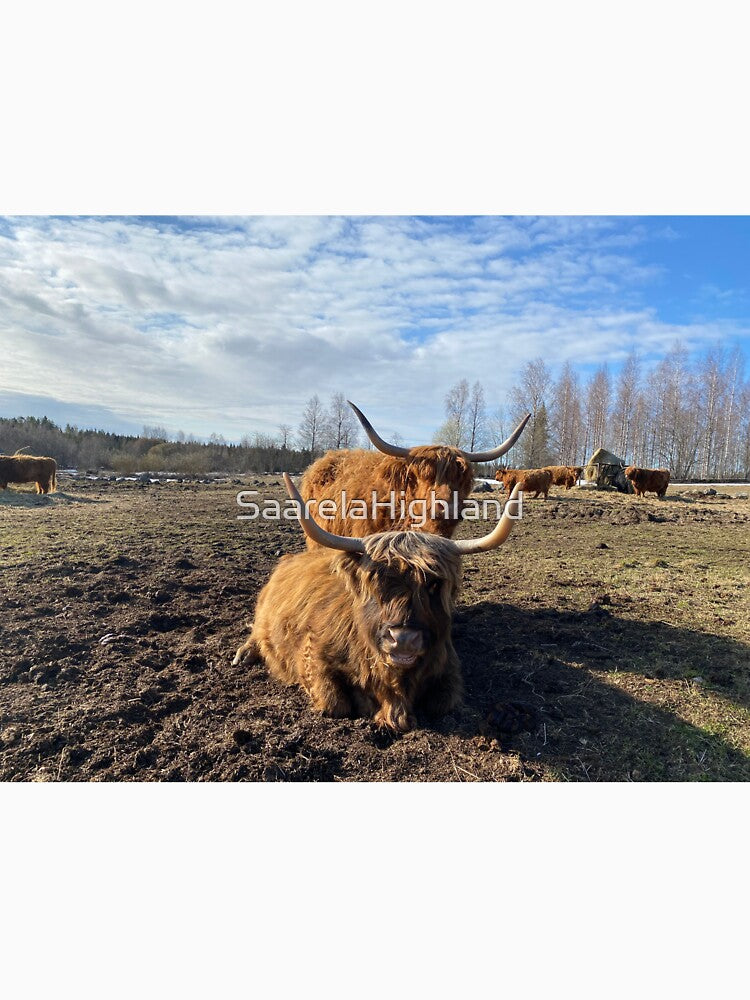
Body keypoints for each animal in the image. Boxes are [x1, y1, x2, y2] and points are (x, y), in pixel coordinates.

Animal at [233, 474, 524, 732]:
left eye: (433, 584)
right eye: (376, 583)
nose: (403, 639)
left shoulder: (447, 666)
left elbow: (443, 702)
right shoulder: (312, 654)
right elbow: (334, 703)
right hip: (262, 615)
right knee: (256, 634)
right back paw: (243, 655)